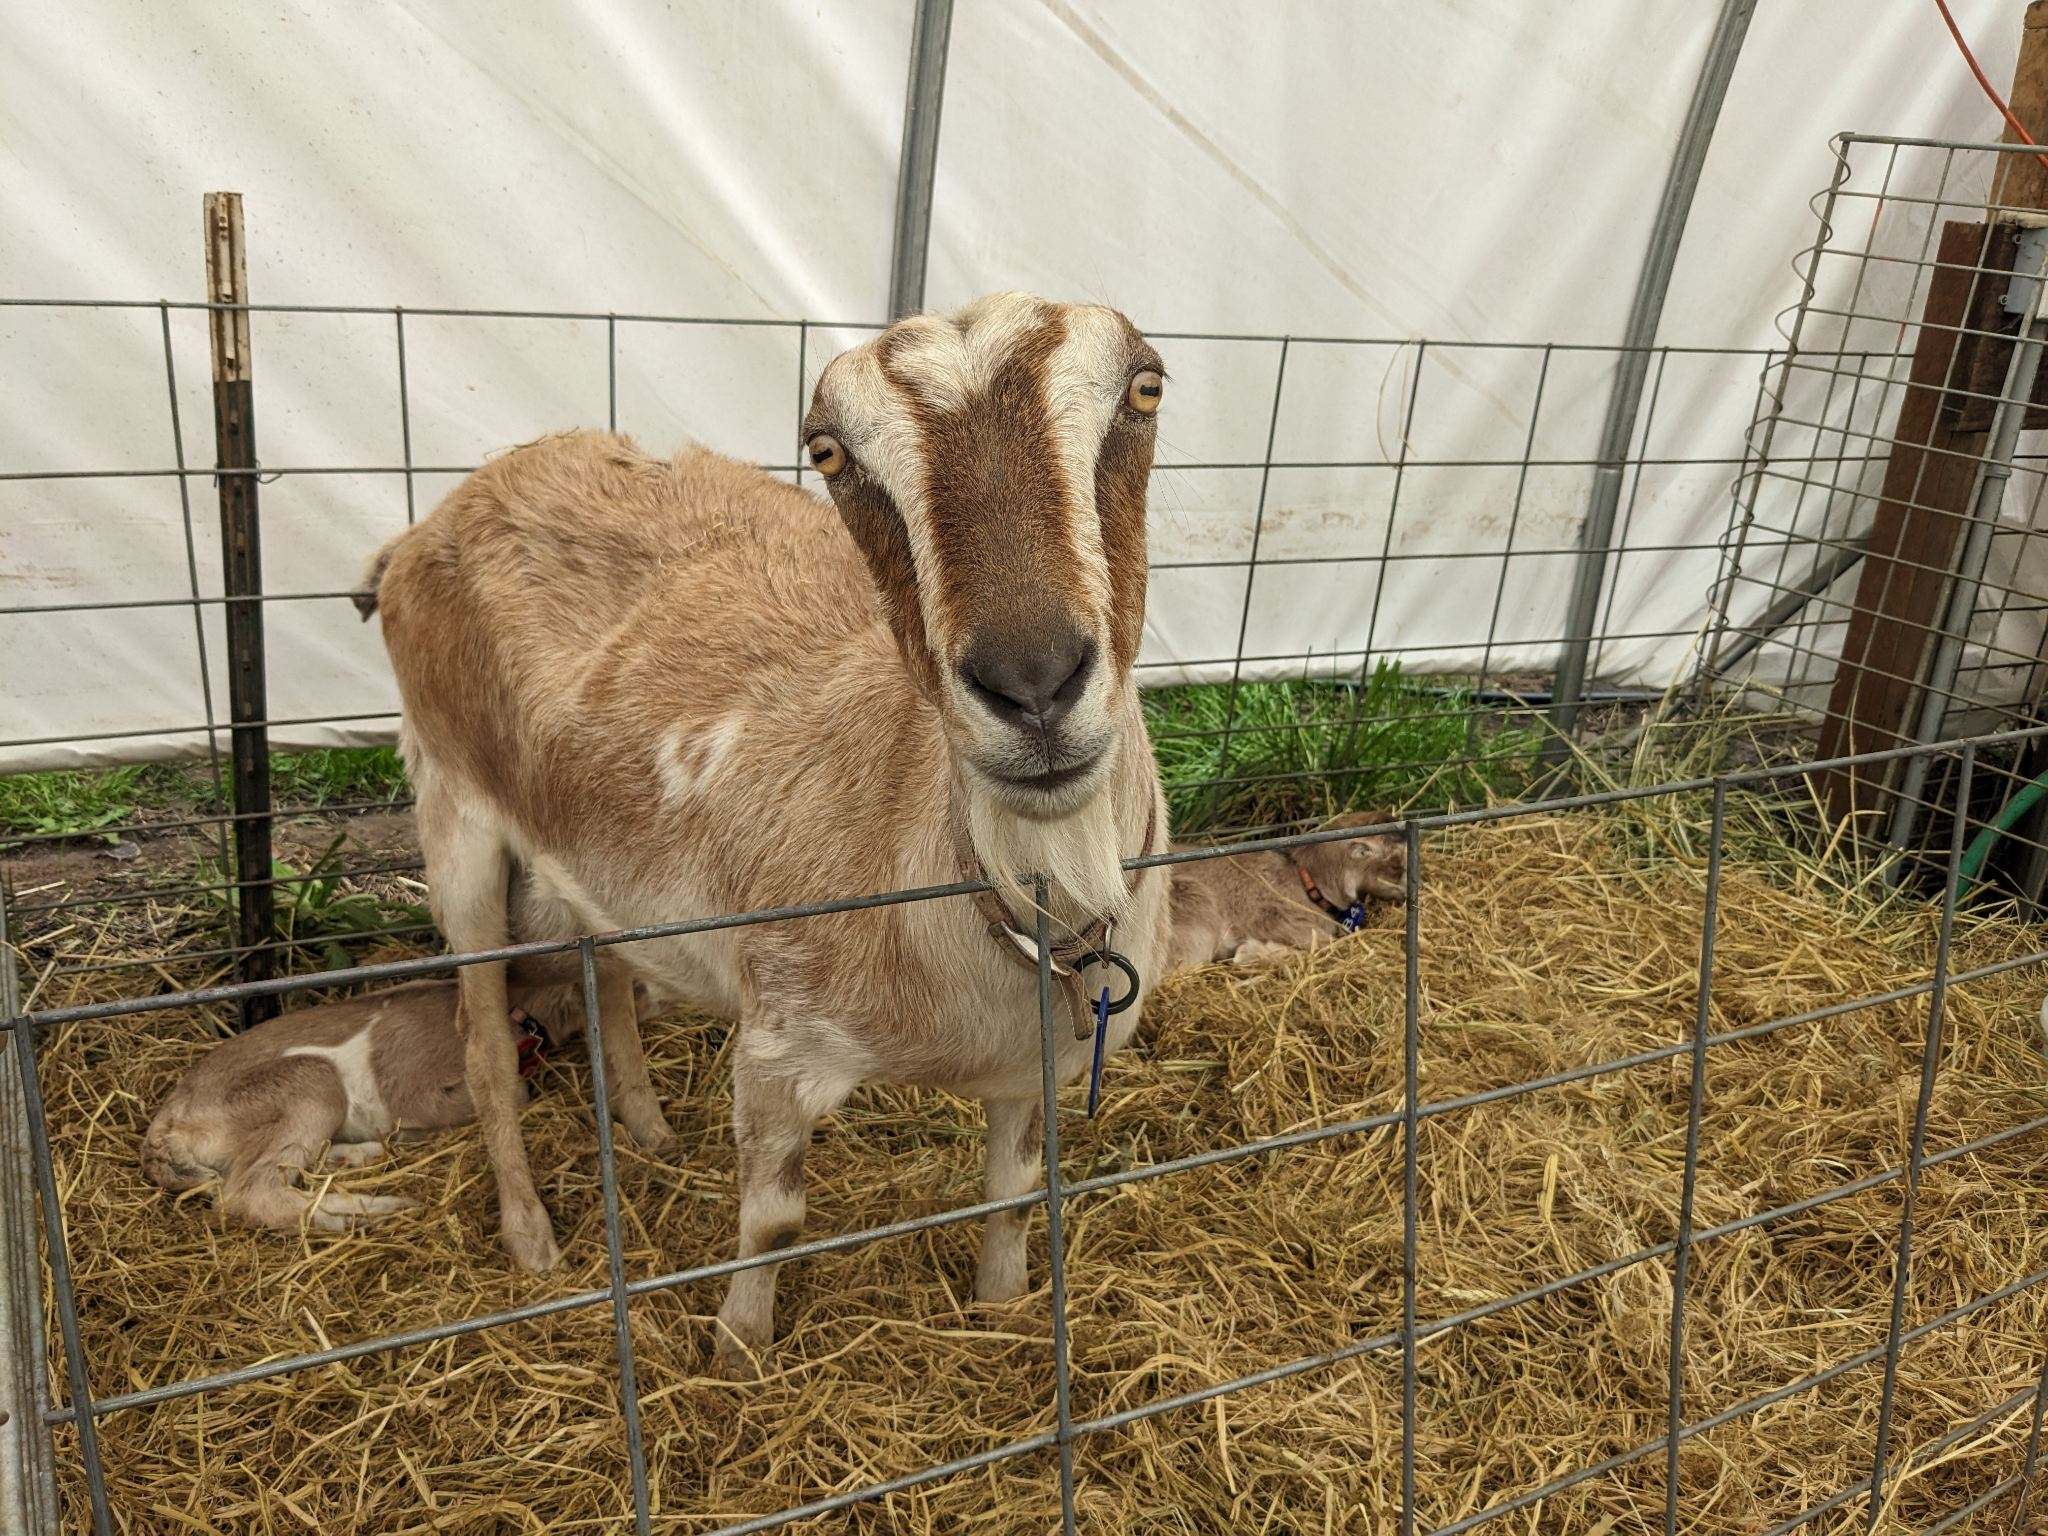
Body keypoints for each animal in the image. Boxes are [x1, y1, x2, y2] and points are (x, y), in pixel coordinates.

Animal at [362, 294, 1173, 1370]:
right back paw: (531, 1237)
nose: (1032, 680)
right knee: (484, 1040)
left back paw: (650, 1130)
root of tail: (438, 518)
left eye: (1145, 387)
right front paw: (735, 1348)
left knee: (605, 967)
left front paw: (1000, 1304)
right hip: (450, 803)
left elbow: (1008, 1191)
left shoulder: (1024, 1067)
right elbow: (777, 1220)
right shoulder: (782, 1045)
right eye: (826, 450)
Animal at [1166, 812, 1407, 970]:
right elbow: (1326, 944)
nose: (1408, 895)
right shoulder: (1278, 919)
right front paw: (1248, 953)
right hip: (1196, 906)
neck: (1306, 880)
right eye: (1397, 865)